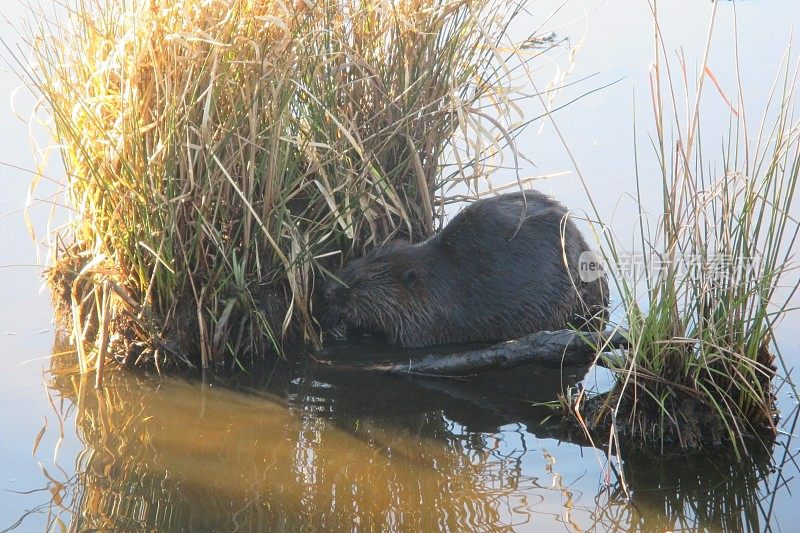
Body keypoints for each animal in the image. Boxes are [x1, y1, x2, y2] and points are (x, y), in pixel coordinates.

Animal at [322, 189, 608, 348]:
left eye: (359, 283)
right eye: (350, 265)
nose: (328, 291)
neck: (437, 278)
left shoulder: (427, 323)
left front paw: (342, 328)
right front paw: (337, 327)